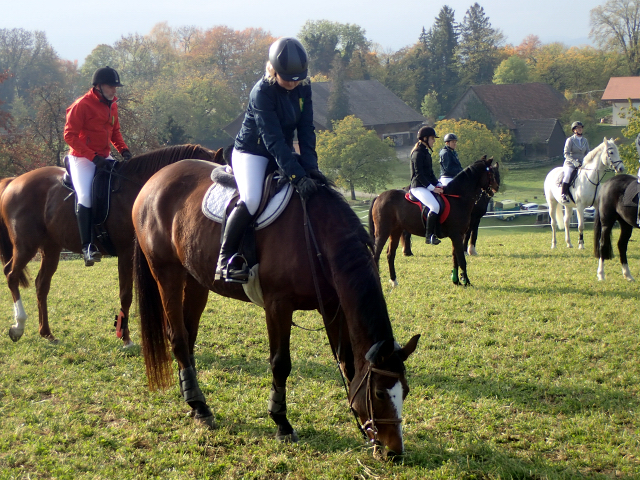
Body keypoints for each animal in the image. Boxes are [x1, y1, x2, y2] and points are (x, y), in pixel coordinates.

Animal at [0, 143, 218, 344]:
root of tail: (13, 181)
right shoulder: (127, 252)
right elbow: (126, 294)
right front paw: (125, 338)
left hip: (51, 247)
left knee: (41, 284)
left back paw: (46, 333)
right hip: (26, 245)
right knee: (11, 274)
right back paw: (18, 326)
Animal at [132, 159, 420, 460]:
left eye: (406, 391)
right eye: (378, 394)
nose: (394, 451)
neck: (315, 235)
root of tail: (157, 177)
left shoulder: (332, 306)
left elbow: (347, 362)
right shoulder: (278, 306)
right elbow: (281, 363)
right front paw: (282, 423)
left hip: (196, 280)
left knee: (188, 338)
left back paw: (195, 402)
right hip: (167, 274)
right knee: (177, 337)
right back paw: (199, 405)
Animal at [368, 157, 498, 284]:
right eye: (491, 173)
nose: (496, 188)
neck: (458, 198)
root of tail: (379, 197)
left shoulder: (457, 236)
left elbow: (455, 258)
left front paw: (456, 280)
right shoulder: (457, 235)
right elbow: (461, 259)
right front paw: (466, 281)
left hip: (395, 231)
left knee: (390, 254)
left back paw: (394, 280)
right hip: (383, 232)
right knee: (376, 255)